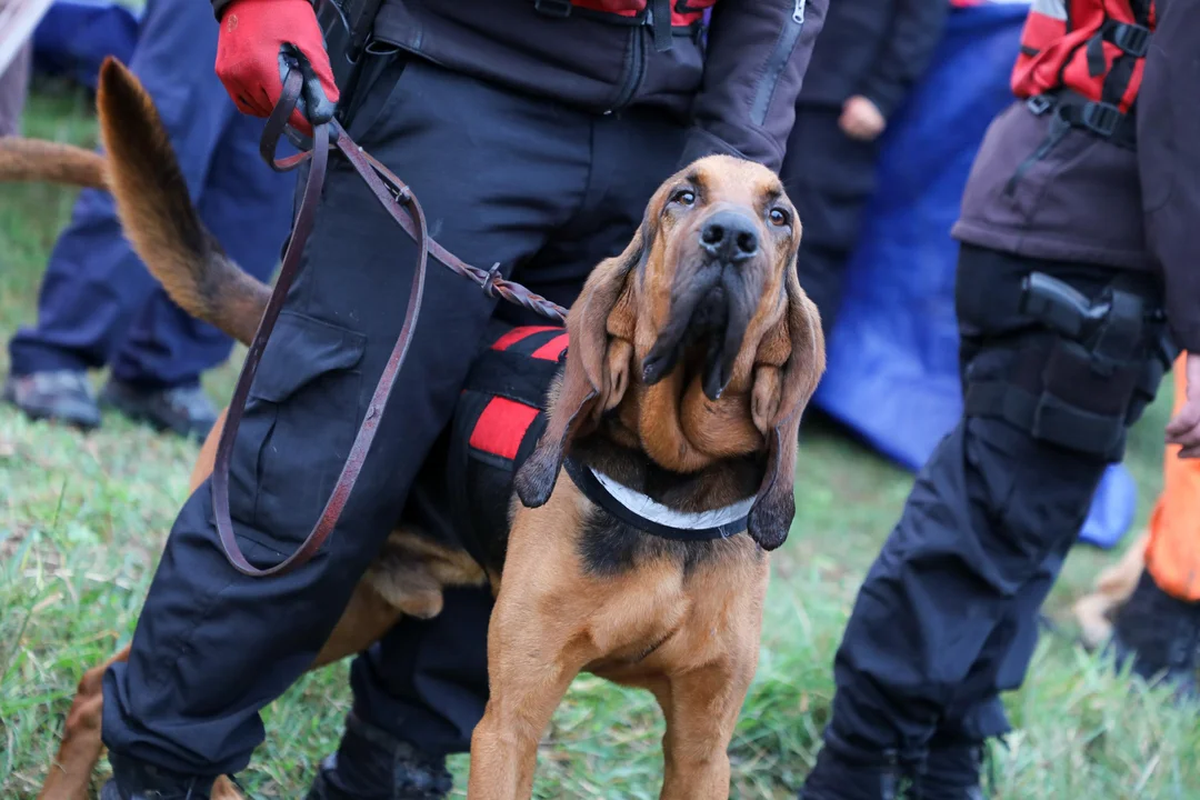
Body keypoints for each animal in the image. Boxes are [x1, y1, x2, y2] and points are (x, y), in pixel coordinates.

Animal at [16, 57, 825, 800]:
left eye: (779, 217)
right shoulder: (510, 723)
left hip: (350, 613)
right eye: (683, 197)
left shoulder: (703, 746)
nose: (731, 238)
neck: (672, 479)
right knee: (113, 693)